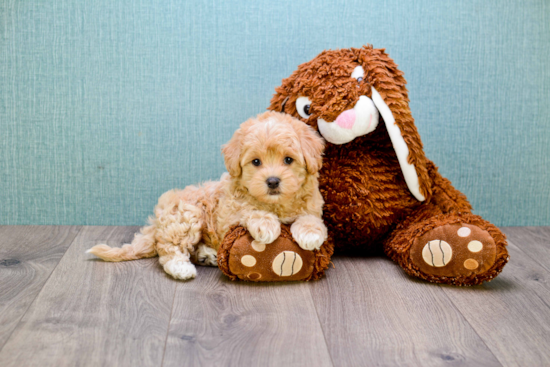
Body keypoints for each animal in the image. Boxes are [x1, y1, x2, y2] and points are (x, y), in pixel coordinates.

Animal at [86, 110, 328, 280]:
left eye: (288, 159)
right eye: (256, 162)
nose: (273, 181)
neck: (275, 204)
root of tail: (157, 220)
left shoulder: (312, 204)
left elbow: (310, 217)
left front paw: (309, 233)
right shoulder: (230, 213)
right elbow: (249, 210)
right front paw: (266, 225)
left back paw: (207, 255)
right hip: (187, 215)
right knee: (169, 249)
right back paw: (181, 268)